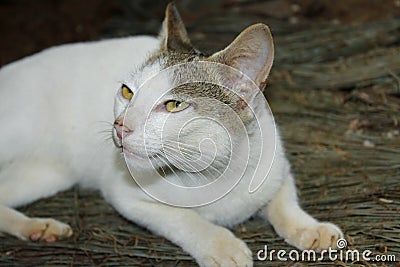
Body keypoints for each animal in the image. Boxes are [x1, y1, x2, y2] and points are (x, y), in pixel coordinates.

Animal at [0, 3, 344, 266]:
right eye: (127, 92)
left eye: (174, 105)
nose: (120, 125)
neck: (214, 170)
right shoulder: (126, 195)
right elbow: (185, 219)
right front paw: (222, 245)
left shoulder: (276, 164)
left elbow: (284, 201)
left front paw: (310, 229)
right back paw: (38, 225)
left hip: (49, 173)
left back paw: (37, 227)